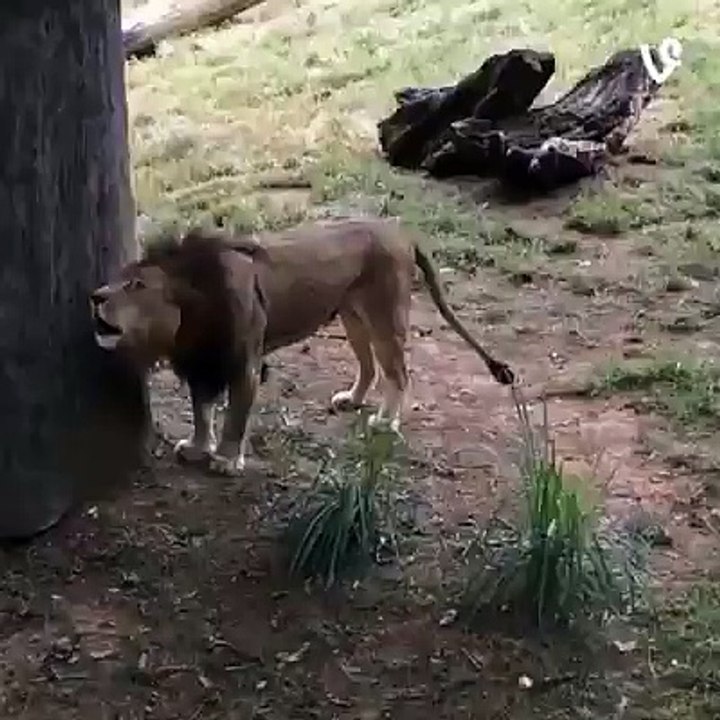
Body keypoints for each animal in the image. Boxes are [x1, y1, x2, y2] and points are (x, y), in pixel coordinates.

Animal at [90, 217, 514, 476]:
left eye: (136, 286)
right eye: (119, 278)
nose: (95, 296)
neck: (192, 314)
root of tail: (400, 231)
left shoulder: (243, 362)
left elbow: (235, 416)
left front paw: (226, 459)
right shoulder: (202, 362)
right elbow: (201, 410)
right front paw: (196, 447)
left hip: (384, 316)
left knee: (398, 372)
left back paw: (385, 421)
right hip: (352, 317)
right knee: (370, 366)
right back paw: (353, 399)